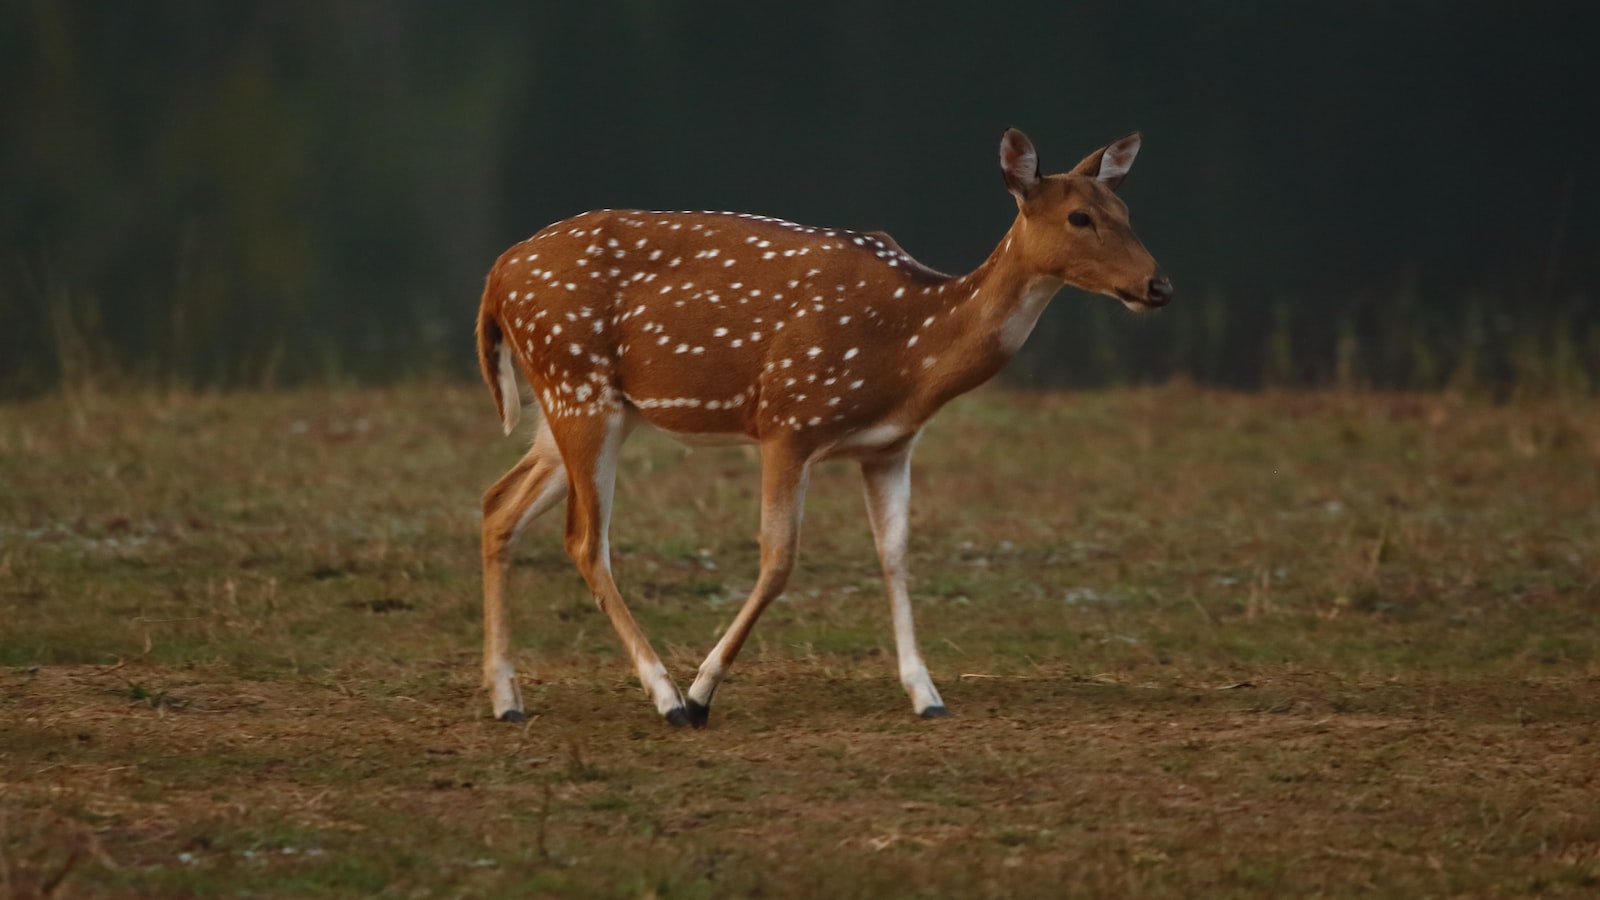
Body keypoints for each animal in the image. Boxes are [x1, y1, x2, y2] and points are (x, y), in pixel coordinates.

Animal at [467, 126, 1171, 723]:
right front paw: (701, 693)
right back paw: (664, 696)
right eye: (1079, 216)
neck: (911, 354)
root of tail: (495, 277)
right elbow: (779, 559)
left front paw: (927, 694)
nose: (1158, 285)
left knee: (498, 503)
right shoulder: (787, 418)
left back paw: (507, 699)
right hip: (578, 386)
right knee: (585, 539)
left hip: (573, 408)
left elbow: (896, 555)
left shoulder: (888, 447)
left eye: (1126, 211)